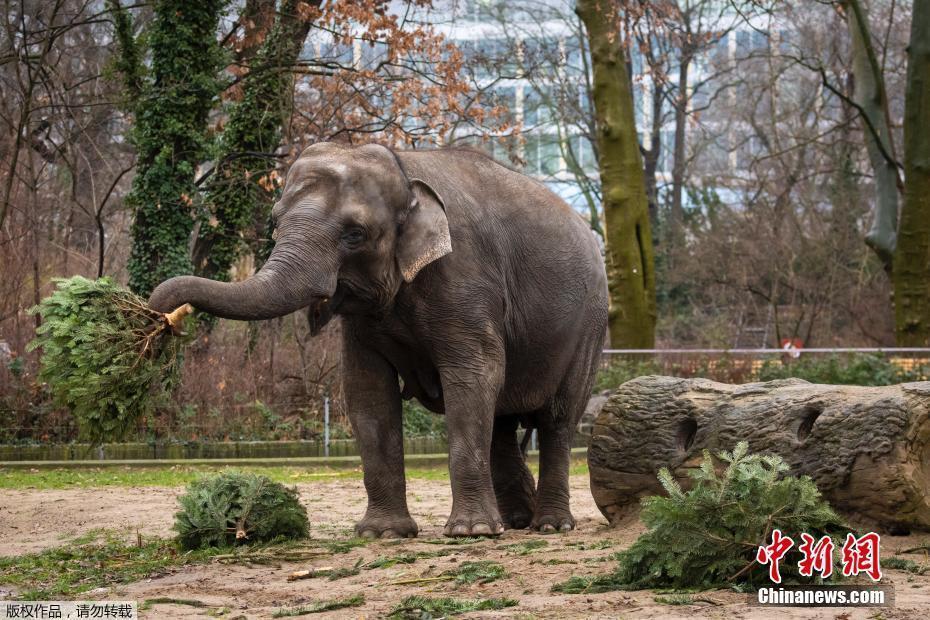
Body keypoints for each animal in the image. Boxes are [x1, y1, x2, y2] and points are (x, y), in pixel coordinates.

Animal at [151, 142, 608, 536]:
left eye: (355, 233)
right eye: (276, 223)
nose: (164, 320)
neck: (403, 170)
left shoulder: (465, 276)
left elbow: (473, 376)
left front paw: (469, 533)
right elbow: (367, 391)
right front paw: (383, 533)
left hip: (590, 325)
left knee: (557, 420)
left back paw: (549, 525)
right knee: (501, 421)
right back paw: (514, 521)